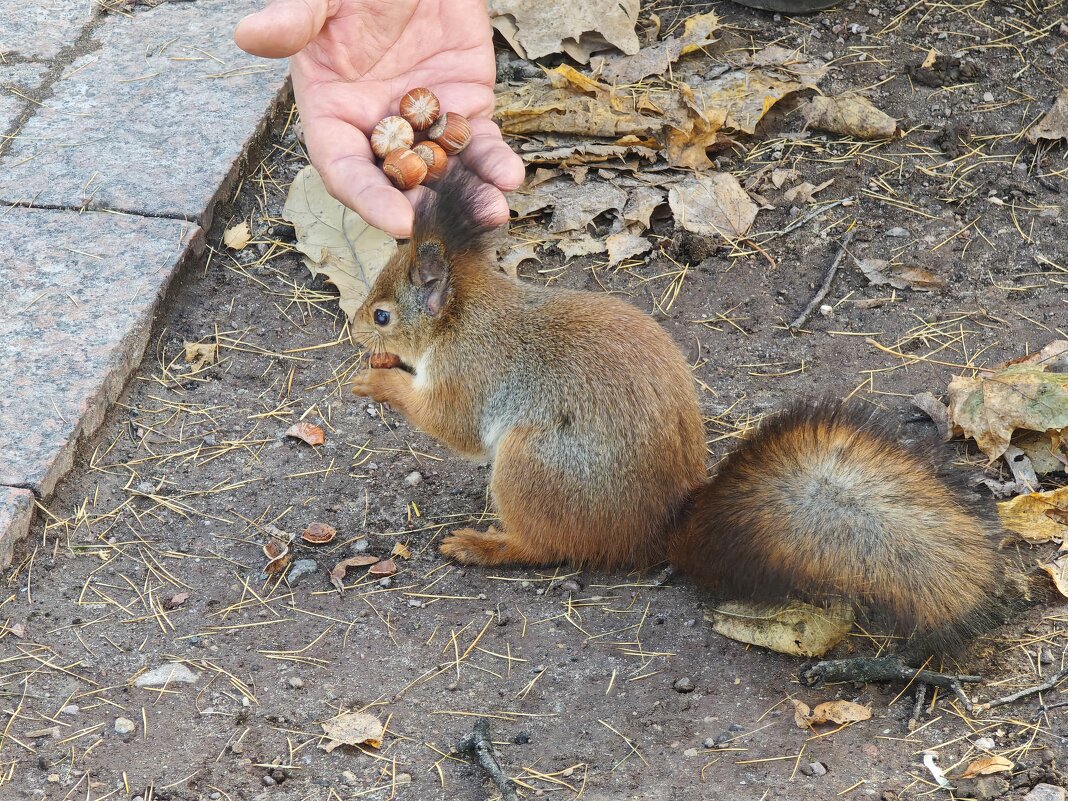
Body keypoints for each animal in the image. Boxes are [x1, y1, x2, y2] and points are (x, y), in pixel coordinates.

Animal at [350, 170, 1008, 670]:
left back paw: (481, 545)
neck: (465, 317)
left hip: (532, 465)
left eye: (383, 315)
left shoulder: (470, 375)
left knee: (542, 546)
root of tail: (655, 530)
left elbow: (450, 424)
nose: (355, 330)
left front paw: (377, 379)